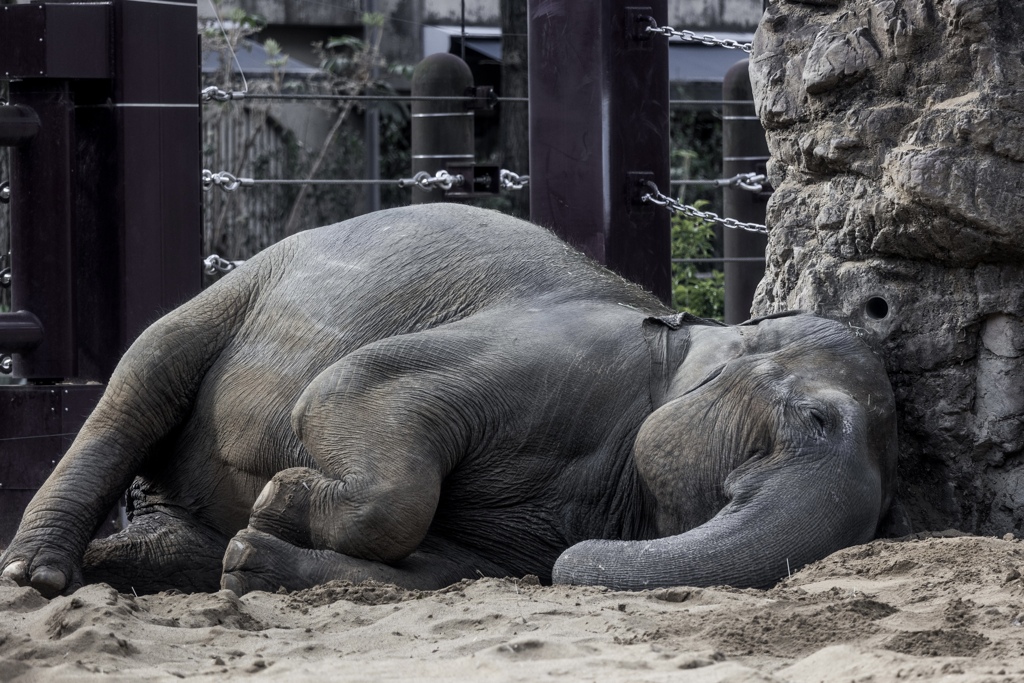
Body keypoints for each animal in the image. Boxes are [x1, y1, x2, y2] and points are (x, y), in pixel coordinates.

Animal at [0, 202, 897, 598]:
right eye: (815, 418)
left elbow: (448, 568)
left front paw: (258, 552)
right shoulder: (550, 354)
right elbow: (352, 387)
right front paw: (283, 498)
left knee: (176, 535)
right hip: (228, 296)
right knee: (137, 383)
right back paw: (34, 574)